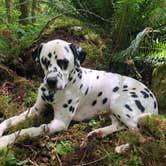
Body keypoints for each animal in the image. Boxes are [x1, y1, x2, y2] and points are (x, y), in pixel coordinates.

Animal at [0, 39, 158, 149]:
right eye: (44, 61)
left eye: (63, 62)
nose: (51, 81)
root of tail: (154, 100)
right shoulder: (35, 110)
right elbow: (9, 120)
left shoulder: (59, 123)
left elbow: (28, 130)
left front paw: (5, 140)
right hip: (113, 109)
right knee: (119, 126)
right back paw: (98, 133)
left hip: (119, 103)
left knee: (142, 135)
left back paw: (124, 147)